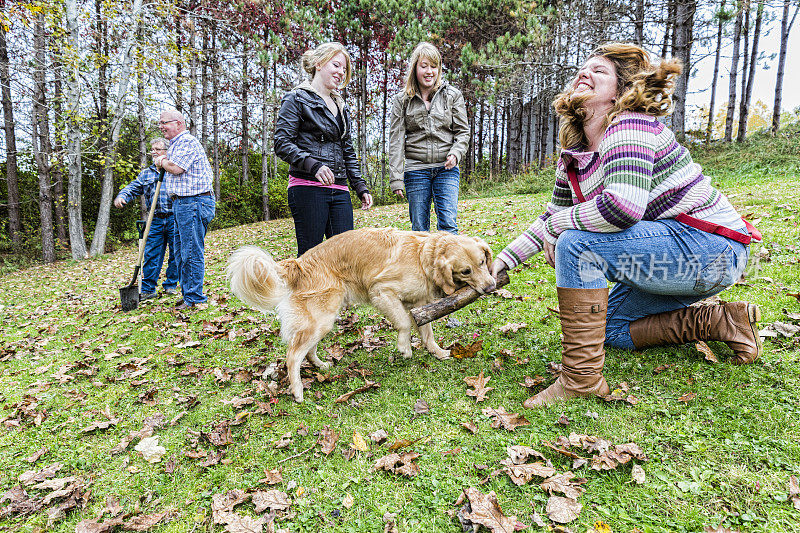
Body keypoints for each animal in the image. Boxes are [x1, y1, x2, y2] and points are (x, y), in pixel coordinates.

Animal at [228, 227, 496, 402]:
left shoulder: (419, 304)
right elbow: (404, 323)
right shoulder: (381, 291)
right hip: (322, 319)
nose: (491, 286)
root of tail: (299, 263)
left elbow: (427, 334)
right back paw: (298, 391)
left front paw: (438, 353)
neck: (423, 256)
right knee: (293, 355)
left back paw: (320, 365)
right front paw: (404, 348)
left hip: (322, 321)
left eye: (483, 262)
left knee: (307, 349)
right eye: (466, 271)